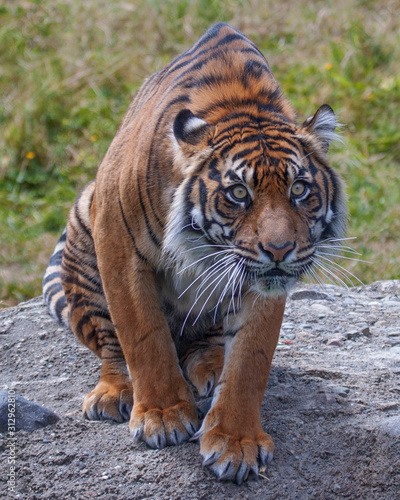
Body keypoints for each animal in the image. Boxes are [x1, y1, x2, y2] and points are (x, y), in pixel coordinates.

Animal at [42, 23, 346, 484]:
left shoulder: (262, 281)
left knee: (206, 342)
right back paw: (115, 393)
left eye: (299, 189)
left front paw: (236, 442)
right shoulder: (117, 241)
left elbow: (251, 361)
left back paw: (212, 366)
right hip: (83, 223)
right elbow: (143, 336)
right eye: (238, 193)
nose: (279, 250)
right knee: (112, 344)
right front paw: (163, 416)